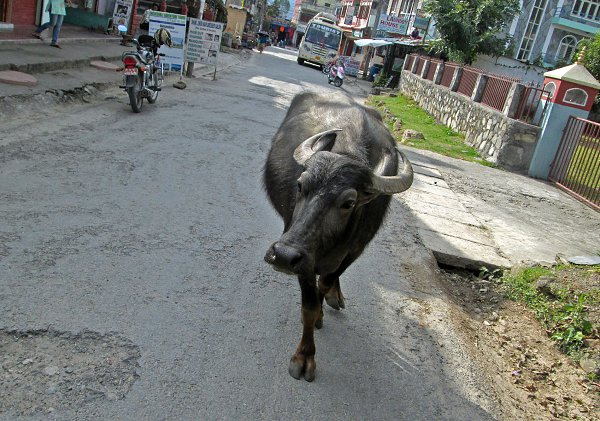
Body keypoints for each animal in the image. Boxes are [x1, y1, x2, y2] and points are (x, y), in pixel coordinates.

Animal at [263, 91, 414, 382]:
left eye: (348, 203)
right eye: (300, 185)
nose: (284, 256)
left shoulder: (354, 251)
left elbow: (326, 281)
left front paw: (324, 306)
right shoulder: (304, 257)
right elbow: (309, 306)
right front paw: (304, 355)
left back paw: (335, 296)